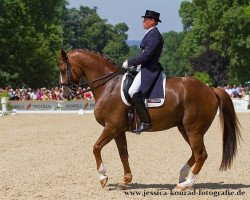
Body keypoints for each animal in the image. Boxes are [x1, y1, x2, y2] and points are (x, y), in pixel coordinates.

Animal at [58, 49, 240, 190]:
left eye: (62, 69)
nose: (66, 95)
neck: (109, 86)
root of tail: (211, 89)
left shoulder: (111, 127)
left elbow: (95, 147)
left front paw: (103, 177)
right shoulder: (118, 130)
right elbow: (123, 154)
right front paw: (126, 180)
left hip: (194, 129)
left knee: (201, 154)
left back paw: (185, 185)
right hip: (185, 128)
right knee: (195, 153)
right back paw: (182, 176)